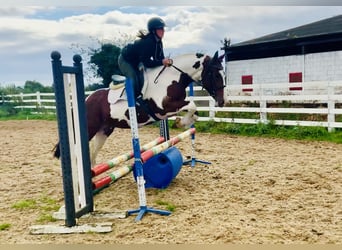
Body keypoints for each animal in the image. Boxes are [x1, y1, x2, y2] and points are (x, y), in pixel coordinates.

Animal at [53, 51, 226, 165]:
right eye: (215, 75)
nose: (222, 102)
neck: (171, 79)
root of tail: (87, 99)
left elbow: (194, 111)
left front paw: (182, 122)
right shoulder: (163, 108)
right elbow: (191, 105)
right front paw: (180, 123)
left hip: (105, 130)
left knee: (93, 152)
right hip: (89, 128)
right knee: (78, 149)